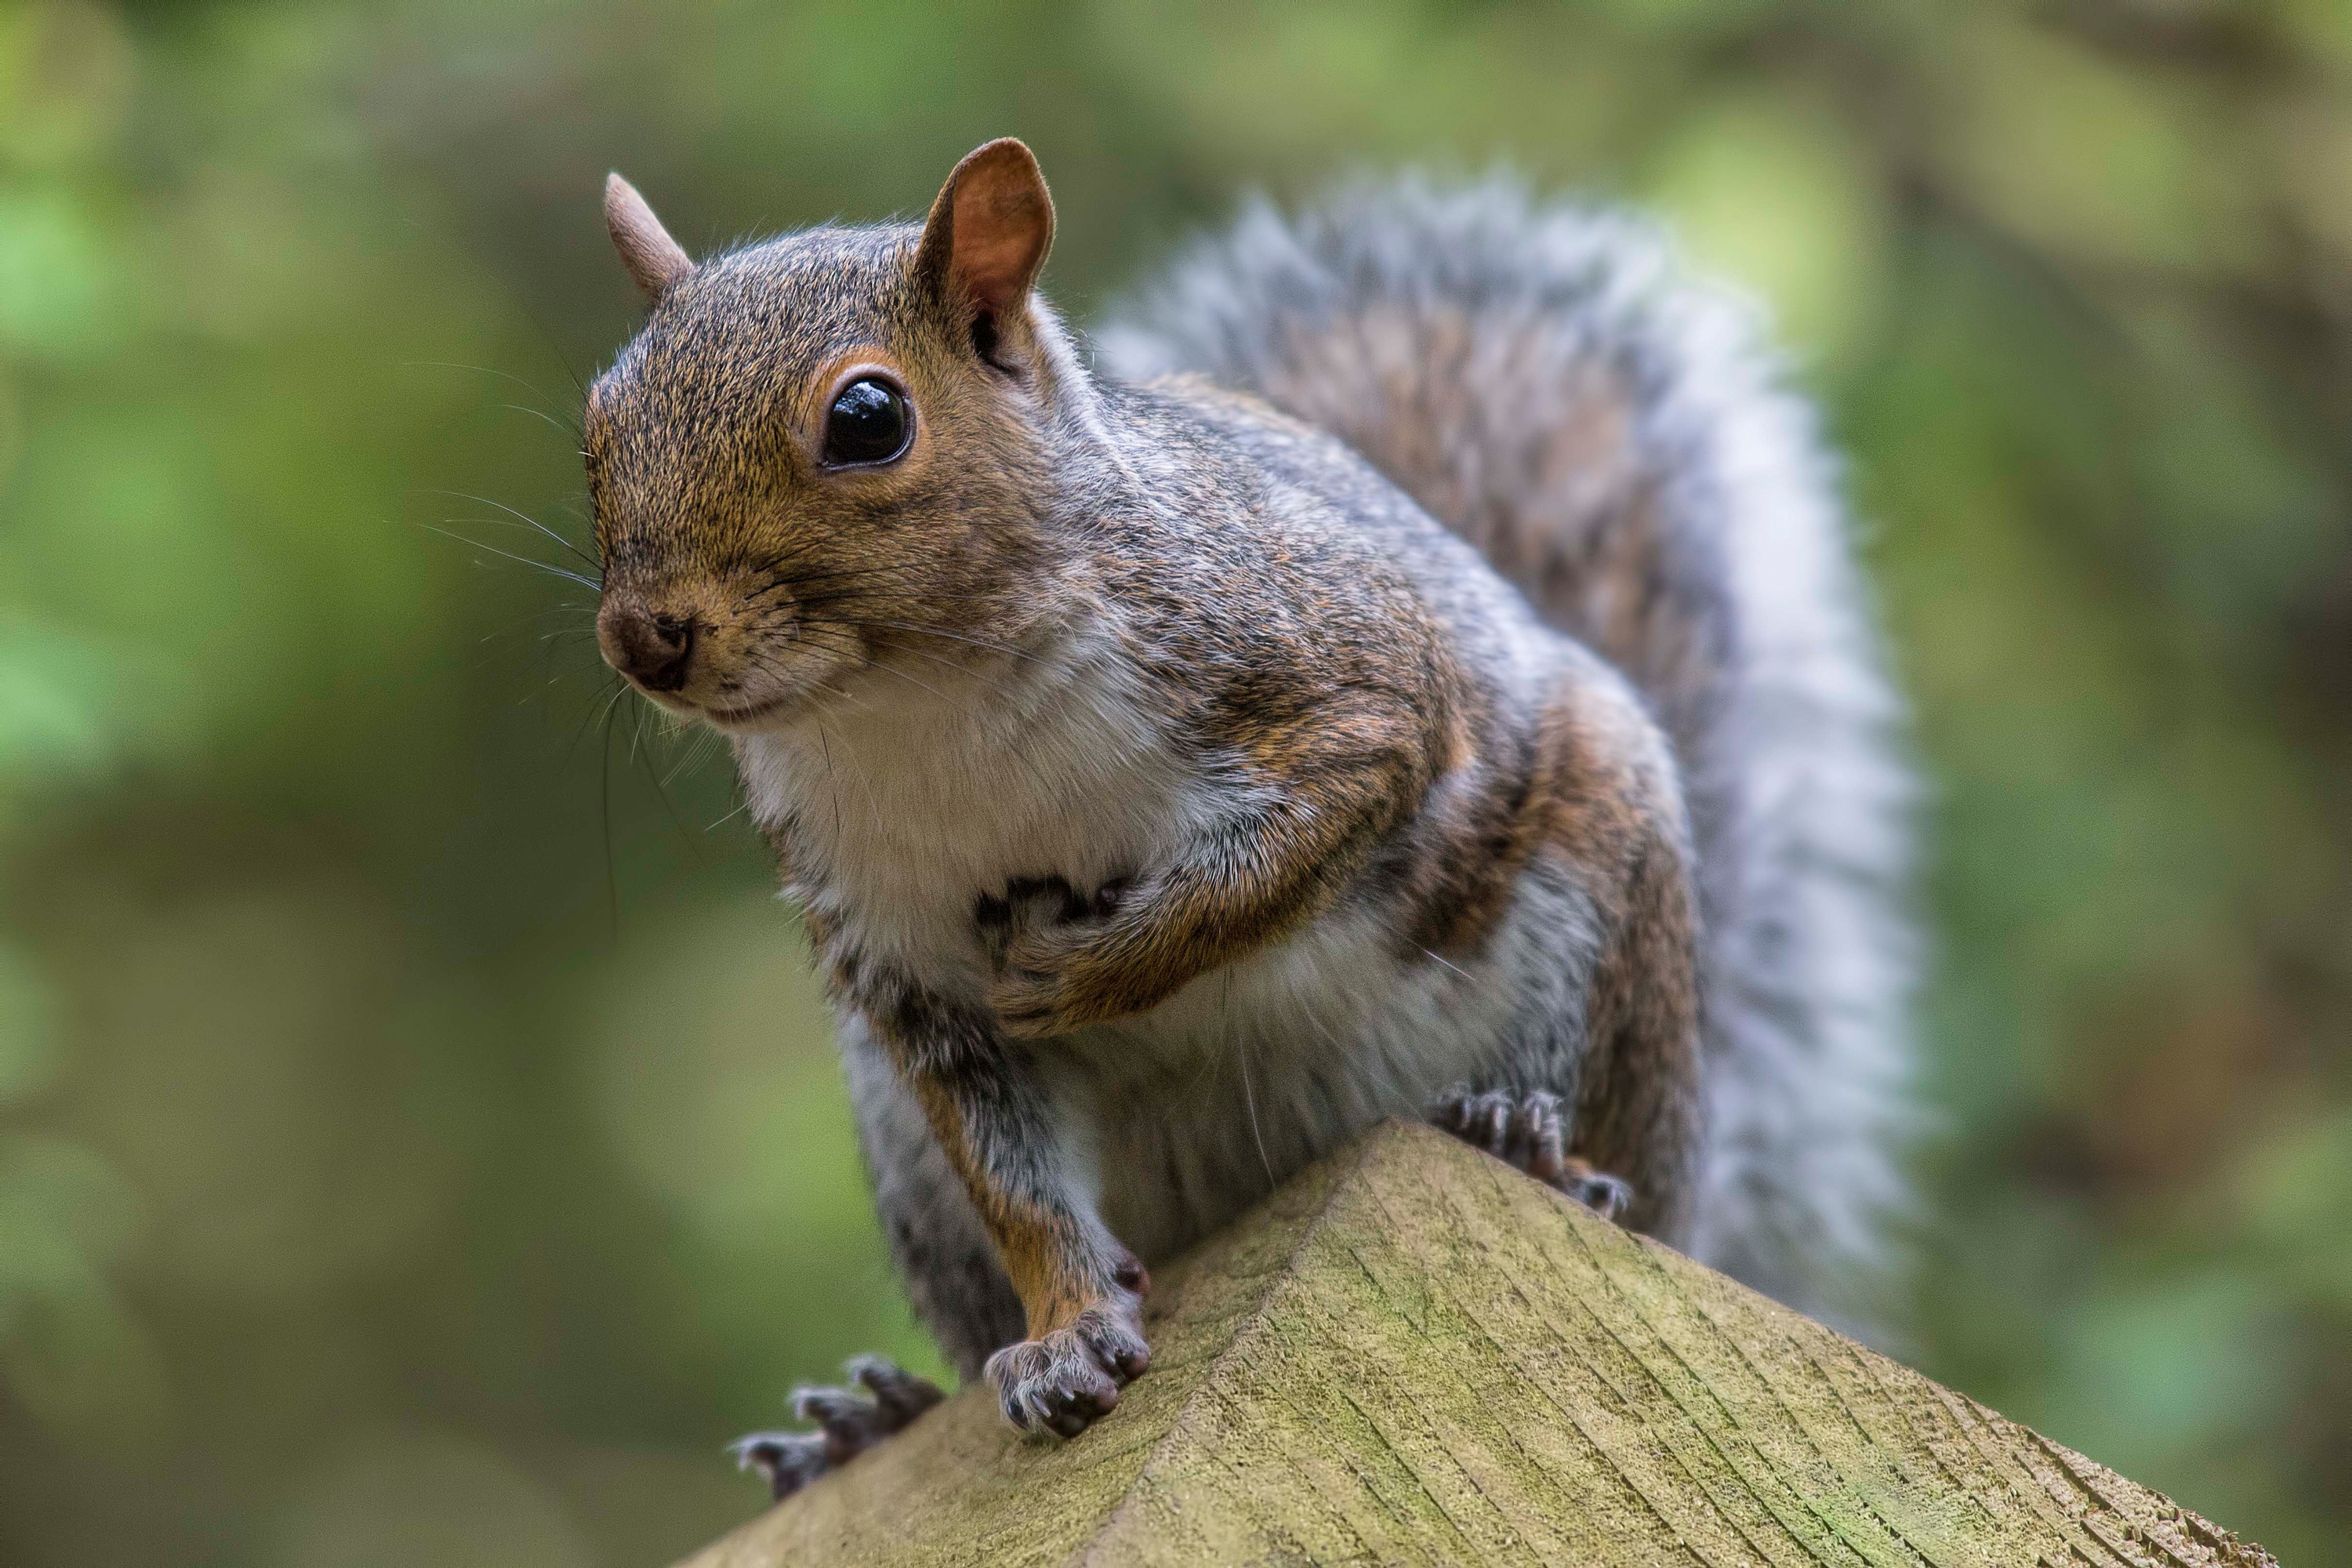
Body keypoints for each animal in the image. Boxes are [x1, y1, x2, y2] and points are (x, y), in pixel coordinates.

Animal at [585, 139, 1912, 1496]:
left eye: (868, 418)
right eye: (601, 422)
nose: (644, 638)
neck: (923, 704)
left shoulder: (1347, 684)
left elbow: (1272, 862)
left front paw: (1092, 971)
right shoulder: (903, 964)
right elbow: (1017, 1187)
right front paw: (1067, 1330)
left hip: (1601, 910)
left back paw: (1528, 1140)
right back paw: (864, 1426)